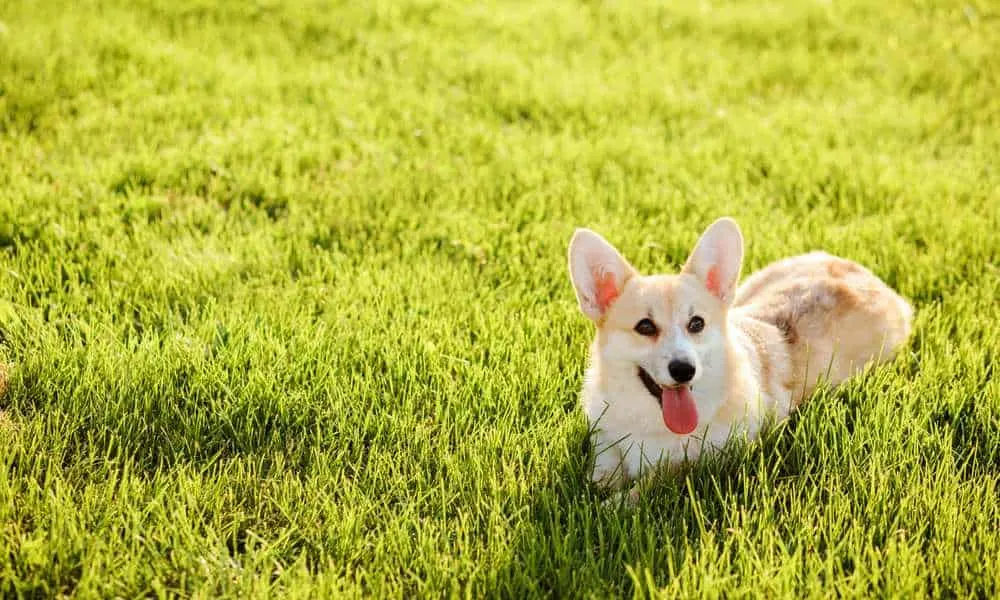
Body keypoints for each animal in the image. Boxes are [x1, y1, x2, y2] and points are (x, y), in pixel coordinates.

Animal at [568, 216, 912, 492]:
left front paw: (614, 503)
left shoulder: (711, 459)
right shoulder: (605, 437)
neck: (650, 420)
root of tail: (868, 276)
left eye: (696, 323)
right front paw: (598, 487)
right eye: (645, 326)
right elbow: (603, 466)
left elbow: (657, 480)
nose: (684, 370)